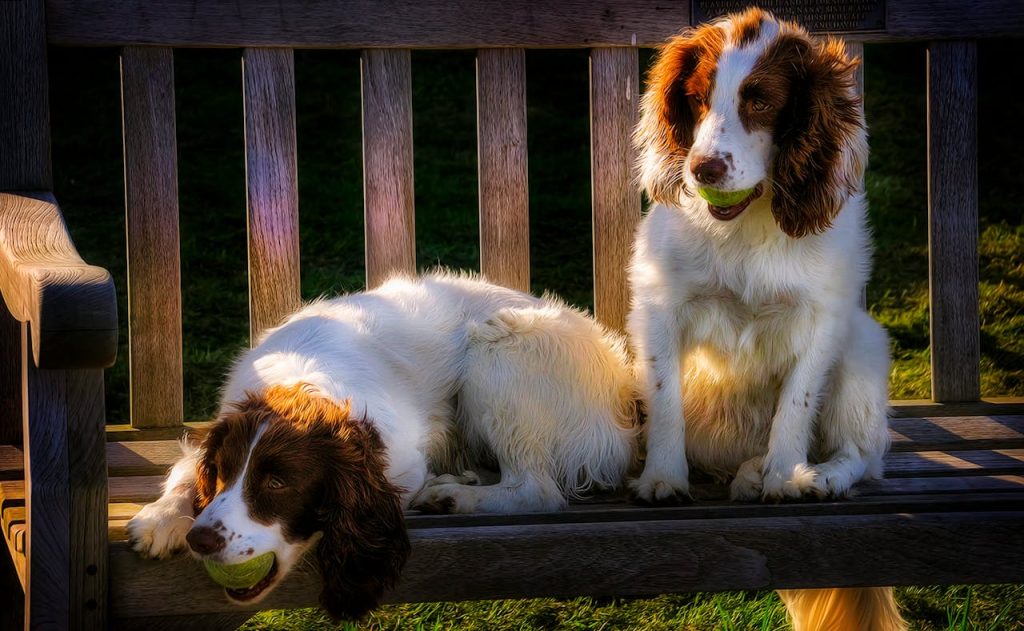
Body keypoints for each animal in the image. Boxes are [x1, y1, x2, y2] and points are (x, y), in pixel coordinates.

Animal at [123, 272, 634, 622]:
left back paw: (453, 495)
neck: (299, 383)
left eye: (278, 483)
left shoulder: (401, 463)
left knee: (535, 488)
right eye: (223, 474)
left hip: (498, 347)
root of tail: (624, 392)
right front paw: (162, 518)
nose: (201, 539)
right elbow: (185, 471)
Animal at [630, 9, 905, 631]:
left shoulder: (825, 318)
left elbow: (796, 406)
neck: (746, 226)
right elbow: (665, 401)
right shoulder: (659, 304)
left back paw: (812, 476)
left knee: (865, 456)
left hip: (863, 347)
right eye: (695, 98)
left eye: (760, 102)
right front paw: (663, 479)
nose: (702, 167)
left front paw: (783, 478)